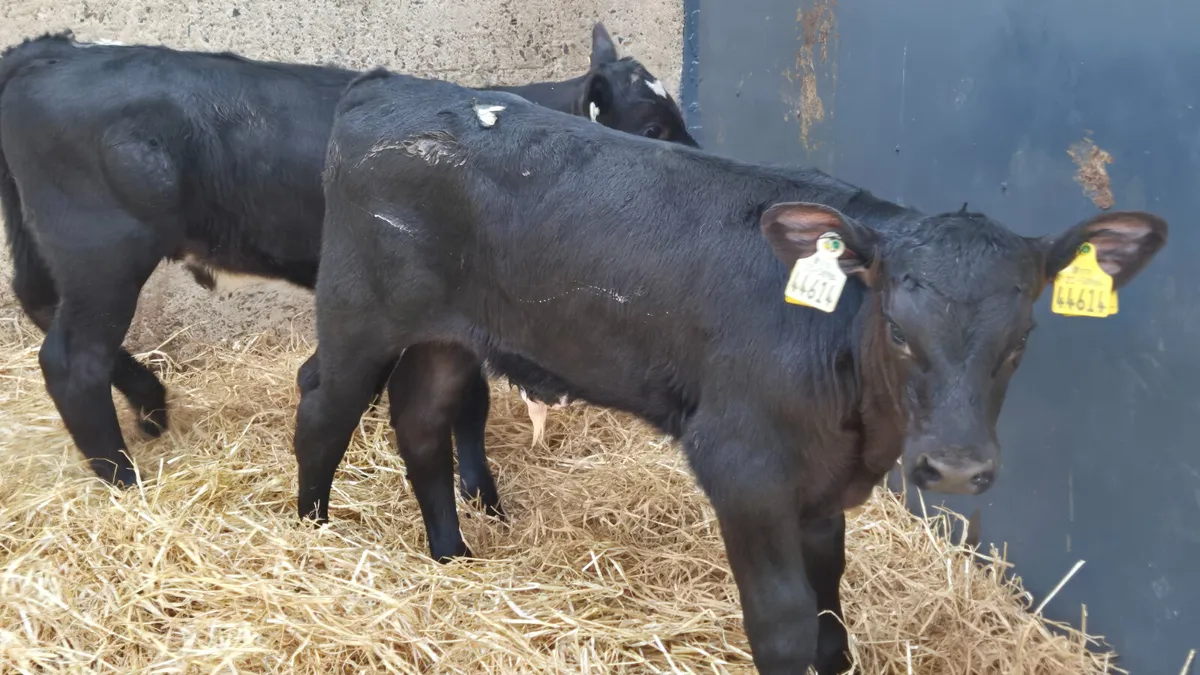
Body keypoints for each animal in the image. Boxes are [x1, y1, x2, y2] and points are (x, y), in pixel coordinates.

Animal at [0, 24, 695, 494]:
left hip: (50, 250)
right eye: (653, 129)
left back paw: (150, 407)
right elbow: (467, 401)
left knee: (45, 314)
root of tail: (56, 50)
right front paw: (479, 491)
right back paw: (123, 480)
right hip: (104, 251)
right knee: (73, 360)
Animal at [296, 69, 1167, 675]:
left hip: (446, 334)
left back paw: (450, 554)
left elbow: (830, 608)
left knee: (422, 420)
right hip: (357, 312)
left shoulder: (822, 485)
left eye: (1022, 337)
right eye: (897, 329)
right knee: (322, 407)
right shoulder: (742, 466)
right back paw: (311, 530)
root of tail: (392, 86)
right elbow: (782, 623)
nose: (954, 467)